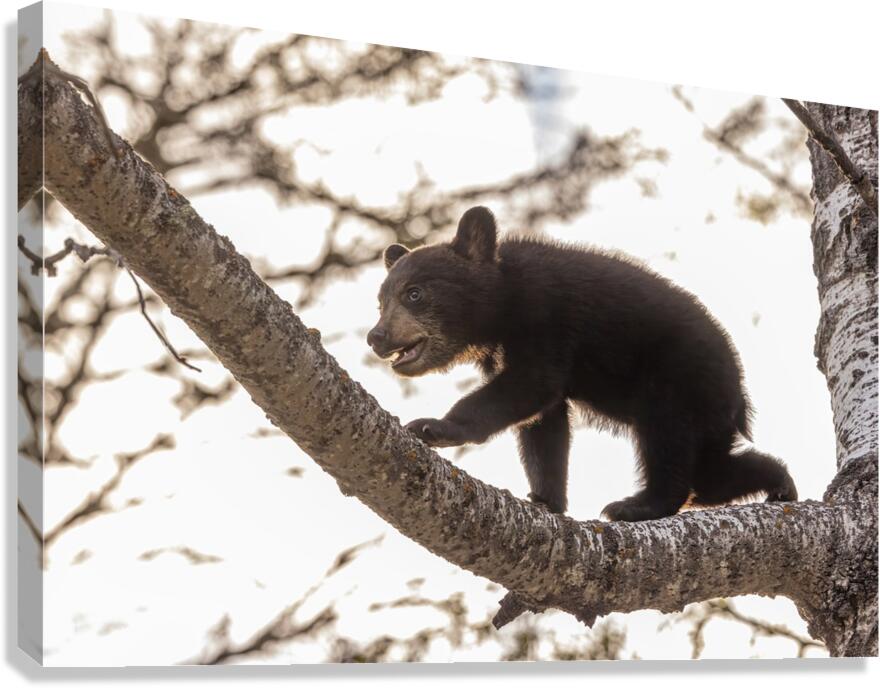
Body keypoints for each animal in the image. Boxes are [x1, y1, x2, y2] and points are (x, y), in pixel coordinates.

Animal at [367, 206, 797, 521]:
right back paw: (780, 482)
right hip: (707, 413)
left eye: (414, 293)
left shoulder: (545, 314)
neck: (502, 306)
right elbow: (545, 421)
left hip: (680, 379)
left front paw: (433, 426)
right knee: (711, 472)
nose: (377, 337)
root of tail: (740, 393)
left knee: (669, 441)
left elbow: (530, 385)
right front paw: (546, 499)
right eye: (380, 301)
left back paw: (637, 505)